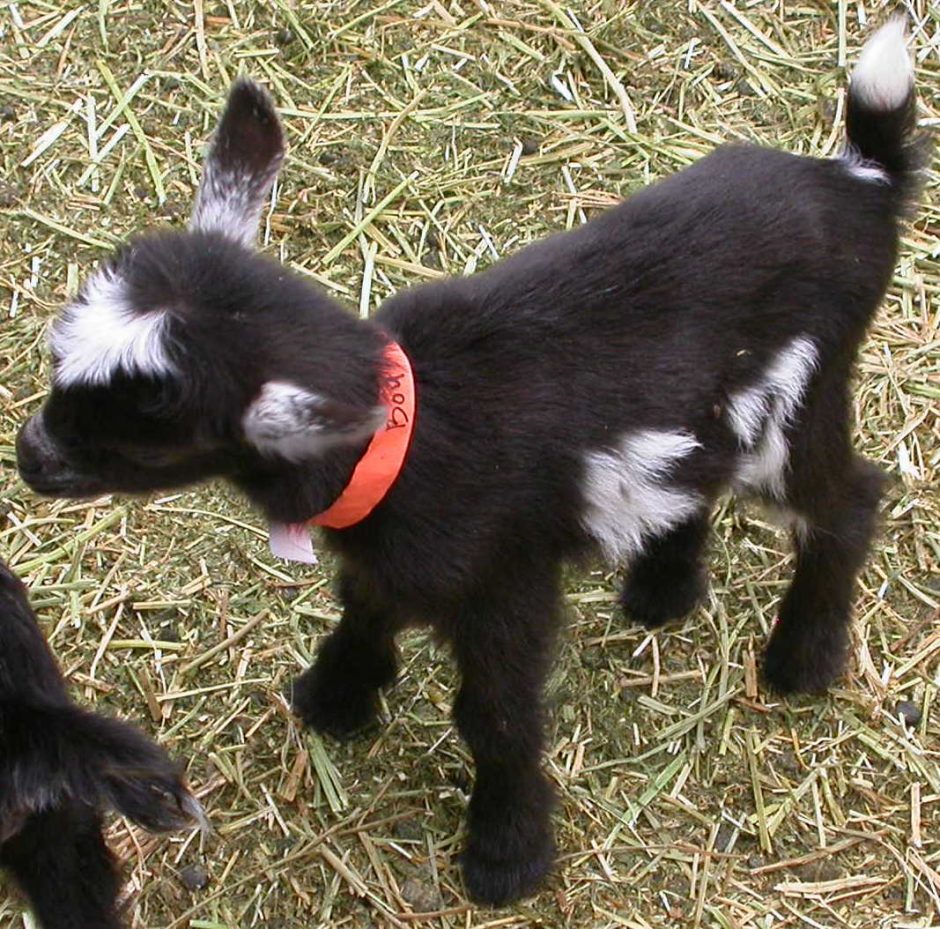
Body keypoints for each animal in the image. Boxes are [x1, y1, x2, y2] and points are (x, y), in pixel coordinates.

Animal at [15, 19, 927, 906]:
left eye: (146, 431)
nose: (29, 457)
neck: (411, 437)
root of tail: (860, 181)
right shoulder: (390, 555)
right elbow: (366, 606)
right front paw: (335, 695)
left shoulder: (505, 580)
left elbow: (497, 716)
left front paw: (506, 854)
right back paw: (662, 590)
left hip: (802, 397)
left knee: (847, 501)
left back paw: (802, 660)